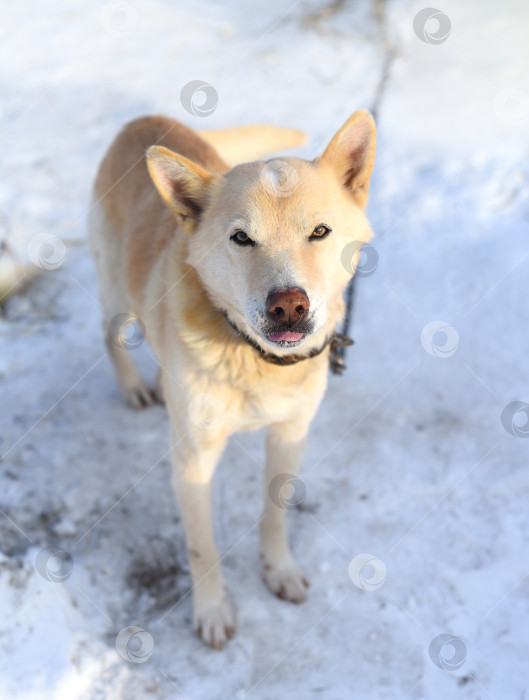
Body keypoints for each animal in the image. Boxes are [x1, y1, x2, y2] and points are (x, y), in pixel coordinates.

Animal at [88, 109, 374, 652]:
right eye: (242, 238)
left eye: (320, 231)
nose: (289, 305)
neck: (253, 356)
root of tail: (144, 118)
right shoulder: (192, 462)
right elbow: (202, 547)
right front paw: (213, 611)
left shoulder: (289, 435)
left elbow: (275, 515)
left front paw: (278, 570)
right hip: (116, 295)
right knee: (110, 337)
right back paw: (135, 385)